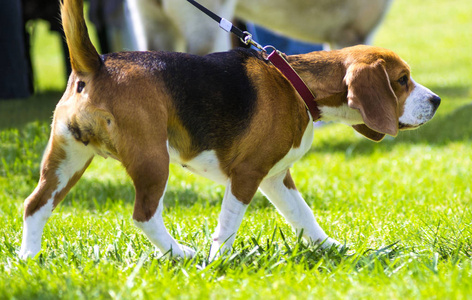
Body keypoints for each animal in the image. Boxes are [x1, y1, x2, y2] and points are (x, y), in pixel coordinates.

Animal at [18, 0, 438, 258]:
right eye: (402, 81)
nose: (434, 101)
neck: (296, 82)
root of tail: (97, 65)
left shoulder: (276, 177)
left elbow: (303, 216)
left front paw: (331, 247)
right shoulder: (247, 175)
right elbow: (229, 224)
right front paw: (219, 261)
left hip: (66, 161)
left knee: (34, 205)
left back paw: (28, 259)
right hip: (152, 161)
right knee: (143, 215)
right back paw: (180, 254)